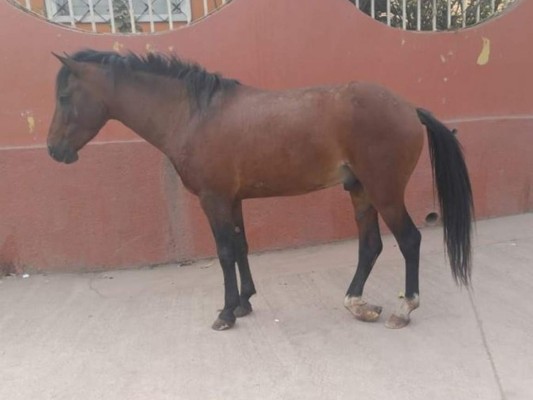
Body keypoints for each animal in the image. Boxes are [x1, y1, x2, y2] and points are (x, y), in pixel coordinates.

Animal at [46, 50, 474, 330]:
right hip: (361, 191)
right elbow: (240, 247)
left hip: (385, 192)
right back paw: (357, 304)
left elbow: (223, 253)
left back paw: (404, 309)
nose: (53, 150)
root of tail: (409, 108)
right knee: (370, 246)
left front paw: (225, 313)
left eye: (65, 97)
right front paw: (244, 303)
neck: (195, 115)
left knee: (409, 240)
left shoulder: (214, 200)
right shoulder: (232, 200)